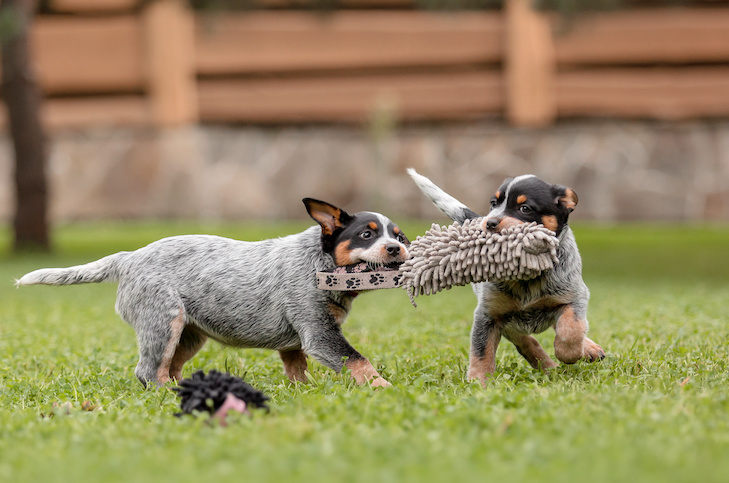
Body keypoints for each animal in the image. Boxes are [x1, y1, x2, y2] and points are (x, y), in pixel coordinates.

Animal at [15, 199, 410, 390]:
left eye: (400, 236)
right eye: (366, 235)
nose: (396, 249)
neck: (318, 261)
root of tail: (129, 257)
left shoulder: (298, 340)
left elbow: (297, 369)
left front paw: (304, 391)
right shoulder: (319, 334)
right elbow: (359, 360)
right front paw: (385, 387)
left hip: (188, 335)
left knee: (169, 367)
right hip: (163, 322)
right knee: (148, 371)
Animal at [410, 170, 604, 386]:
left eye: (525, 208)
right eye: (493, 203)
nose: (489, 222)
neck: (527, 277)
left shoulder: (575, 296)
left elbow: (572, 328)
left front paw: (568, 353)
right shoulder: (488, 314)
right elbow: (481, 352)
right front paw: (478, 383)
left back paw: (588, 349)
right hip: (508, 321)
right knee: (526, 341)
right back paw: (550, 367)